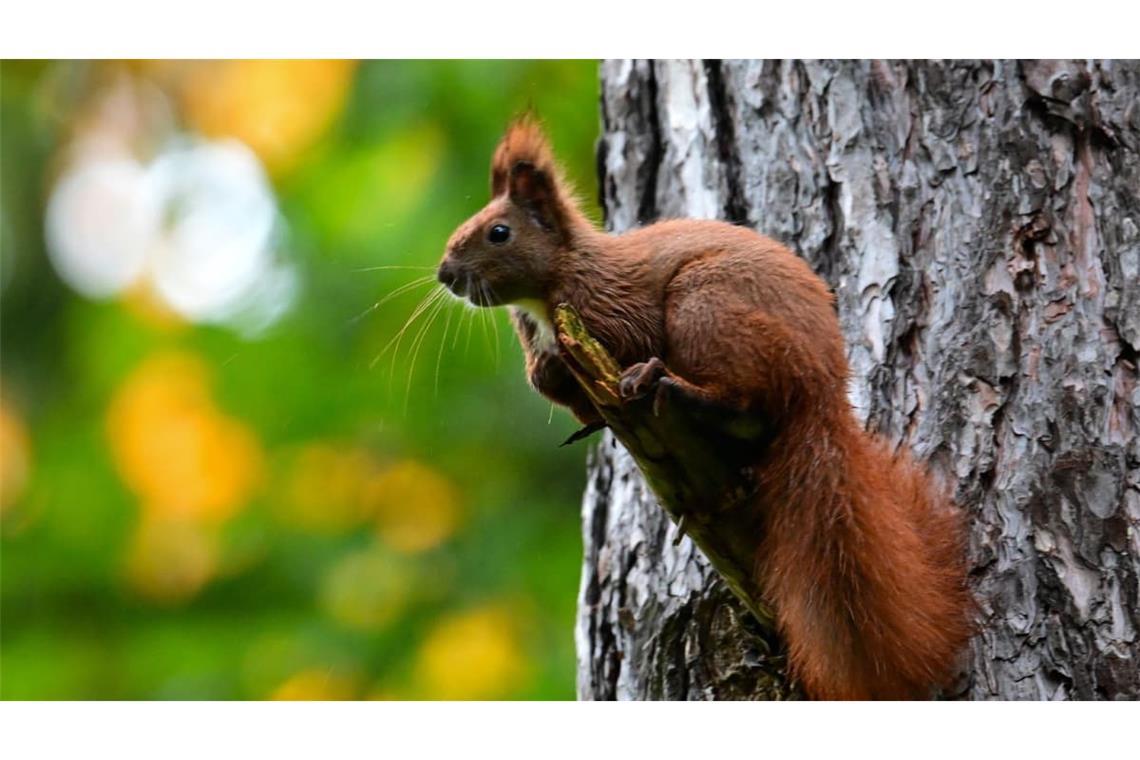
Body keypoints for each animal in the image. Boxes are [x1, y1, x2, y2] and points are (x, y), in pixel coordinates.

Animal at [437, 116, 972, 700]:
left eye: (499, 232)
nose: (444, 274)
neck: (550, 288)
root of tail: (819, 391)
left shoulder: (616, 307)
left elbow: (630, 336)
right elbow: (571, 400)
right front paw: (553, 381)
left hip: (704, 305)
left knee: (743, 400)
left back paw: (669, 385)